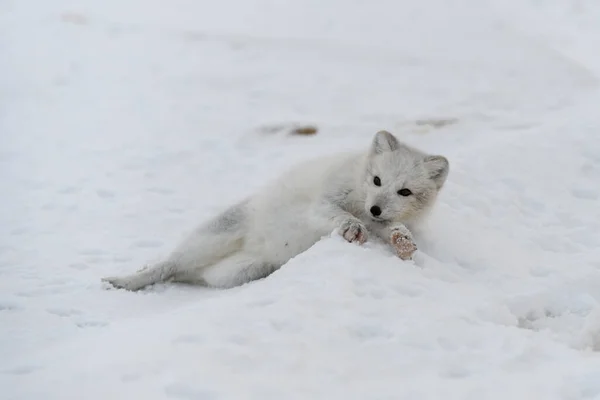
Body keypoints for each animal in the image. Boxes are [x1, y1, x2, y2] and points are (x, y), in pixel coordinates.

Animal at [103, 131, 448, 290]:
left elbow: (393, 230)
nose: (375, 208)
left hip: (238, 273)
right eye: (377, 180)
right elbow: (337, 214)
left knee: (188, 273)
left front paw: (402, 242)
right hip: (216, 234)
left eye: (404, 192)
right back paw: (126, 281)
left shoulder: (383, 221)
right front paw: (352, 228)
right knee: (168, 264)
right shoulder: (323, 201)